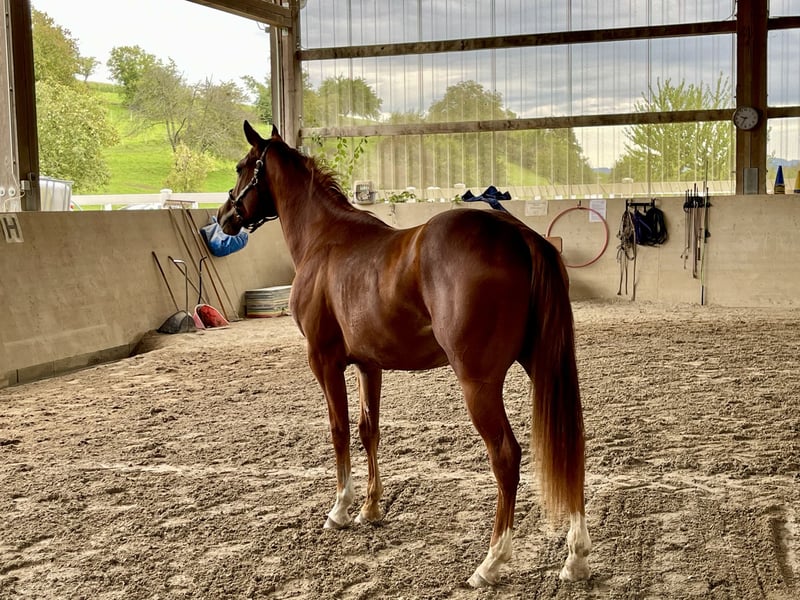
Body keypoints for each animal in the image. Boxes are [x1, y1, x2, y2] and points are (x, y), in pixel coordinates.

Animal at [217, 120, 592, 587]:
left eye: (241, 167)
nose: (223, 217)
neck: (325, 240)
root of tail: (519, 236)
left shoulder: (323, 360)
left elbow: (338, 430)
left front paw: (340, 510)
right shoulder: (369, 365)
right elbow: (368, 430)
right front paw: (371, 508)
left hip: (478, 383)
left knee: (506, 457)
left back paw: (490, 563)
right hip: (542, 365)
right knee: (571, 445)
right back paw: (575, 557)